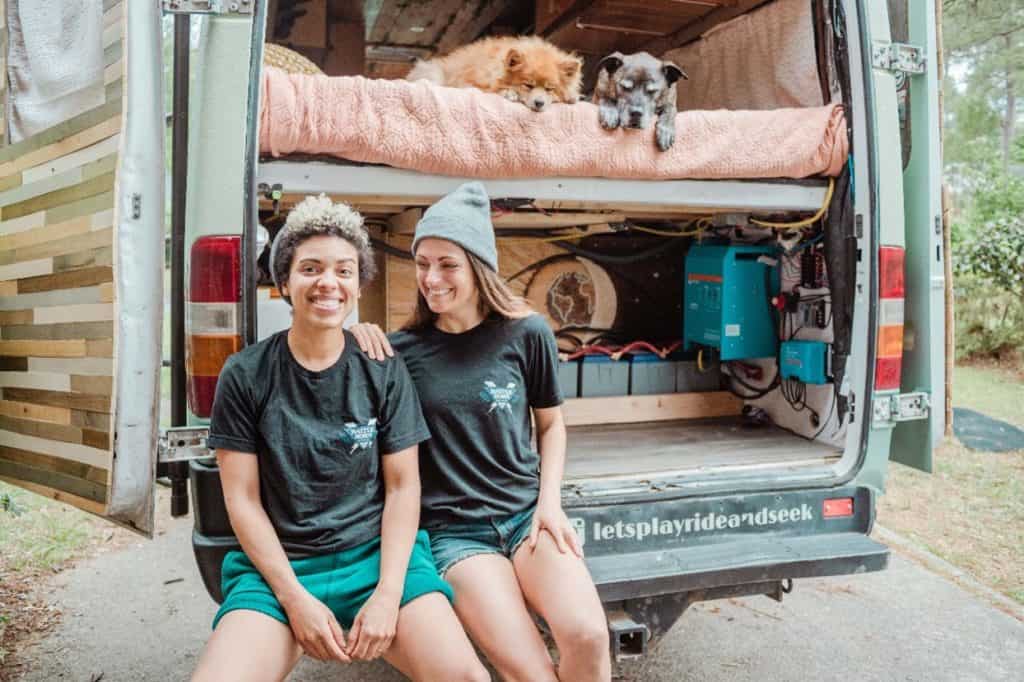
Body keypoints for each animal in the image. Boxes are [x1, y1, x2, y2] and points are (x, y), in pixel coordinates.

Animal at [407, 36, 585, 111]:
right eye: (528, 85)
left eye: (550, 89)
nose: (539, 103)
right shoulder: (469, 82)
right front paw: (509, 92)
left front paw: (572, 96)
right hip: (433, 71)